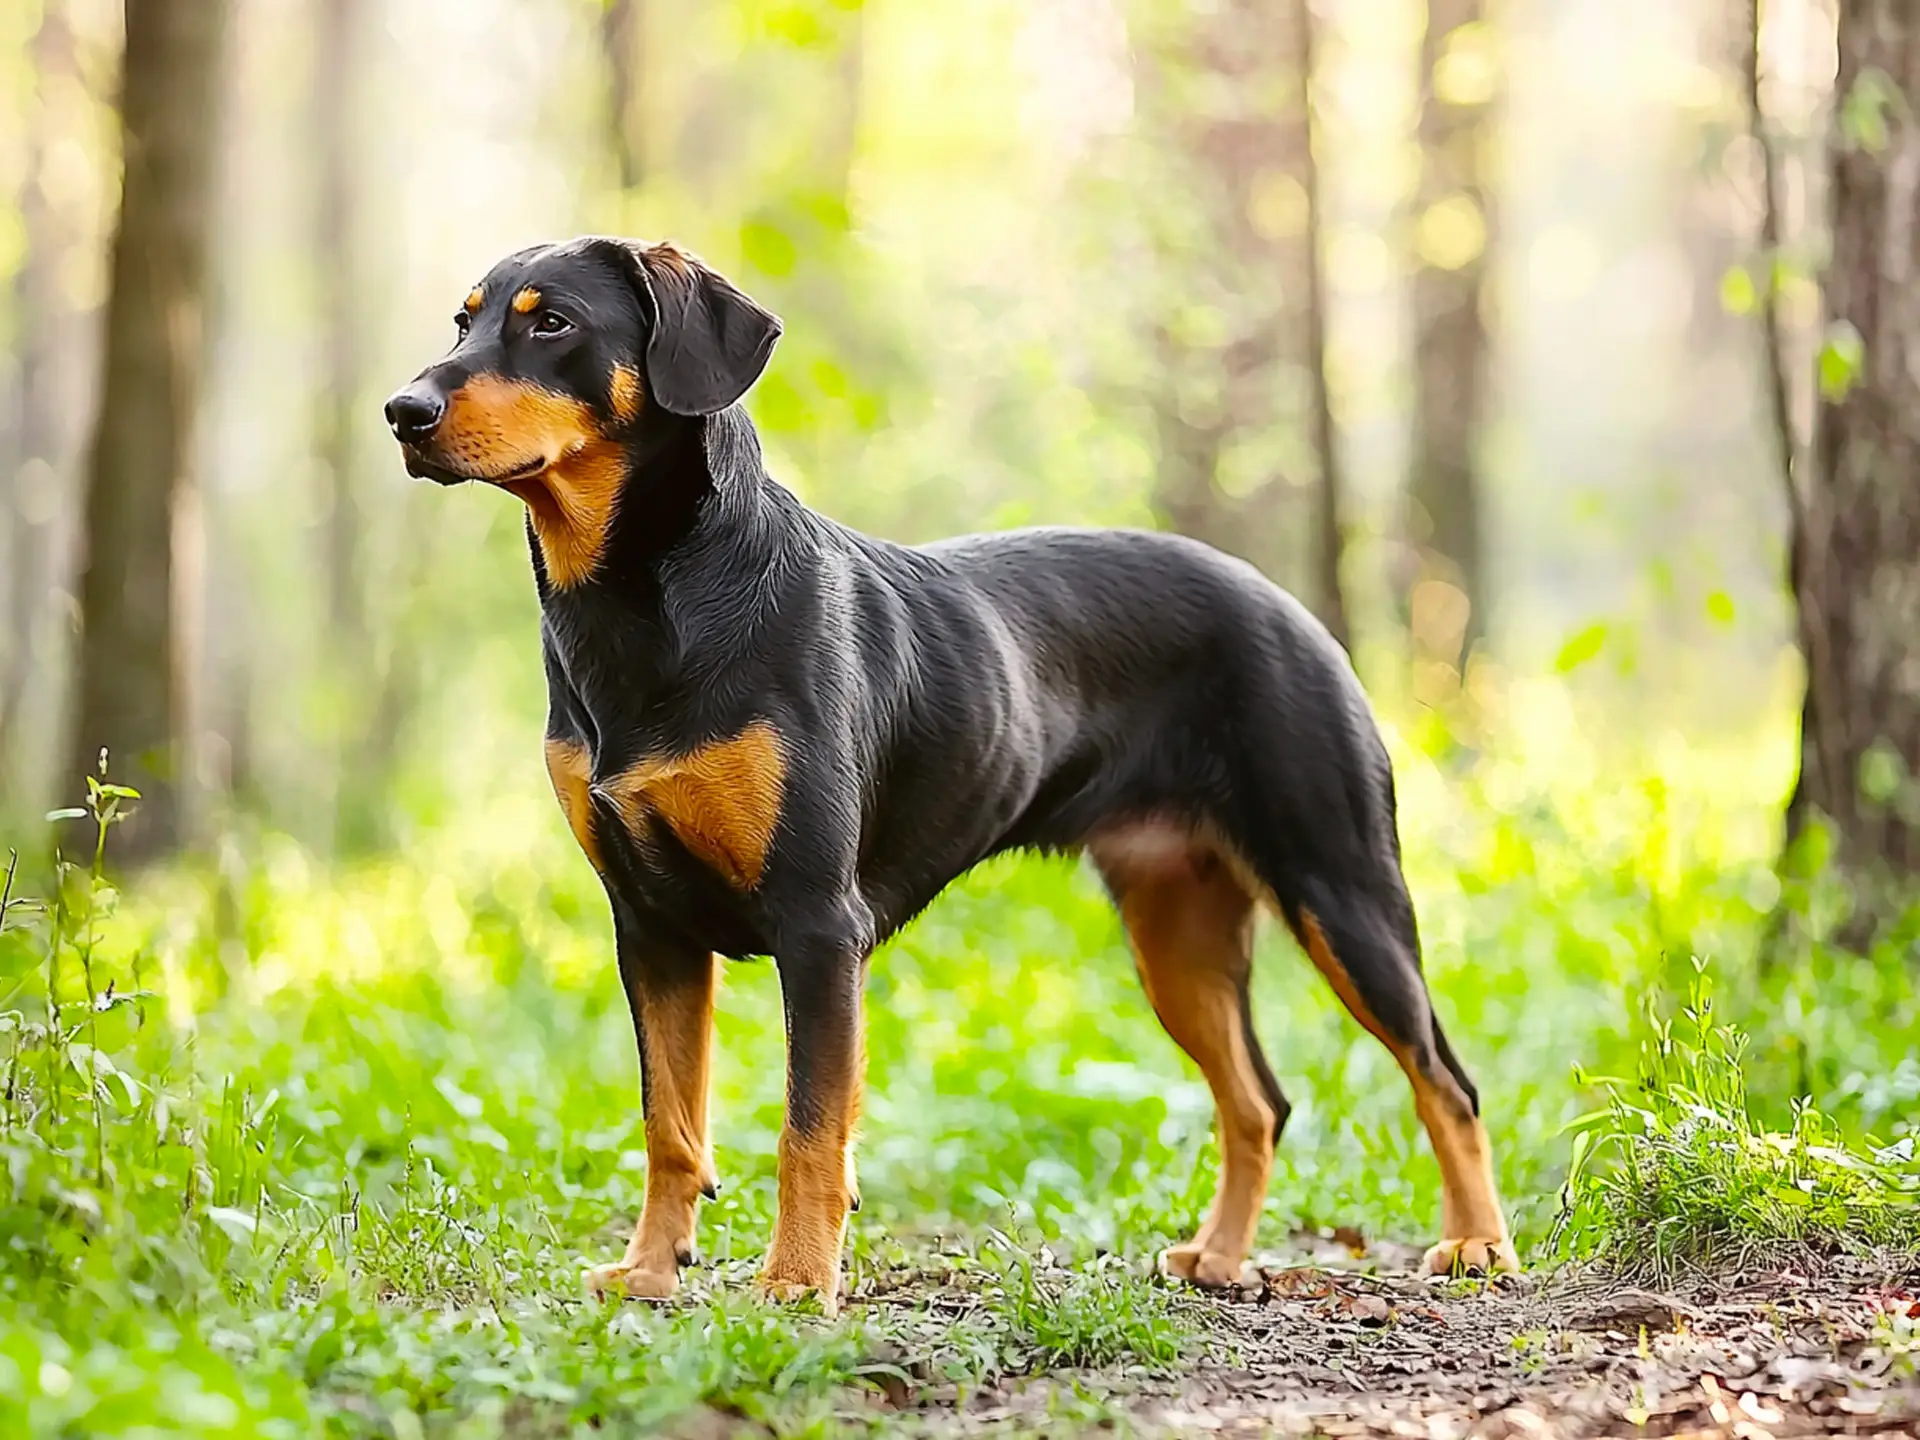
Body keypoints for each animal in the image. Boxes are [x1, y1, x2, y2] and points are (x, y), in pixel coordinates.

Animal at [378, 240, 1512, 1320]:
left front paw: (797, 1283)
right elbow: (671, 1126)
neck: (650, 598)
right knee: (1257, 1100)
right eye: (465, 321)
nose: (403, 413)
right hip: (1175, 930)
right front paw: (653, 1272)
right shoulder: (648, 926)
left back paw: (1477, 1246)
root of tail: (1287, 606)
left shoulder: (818, 926)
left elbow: (809, 1128)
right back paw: (1223, 1256)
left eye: (553, 324)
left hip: (1342, 890)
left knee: (1445, 1079)